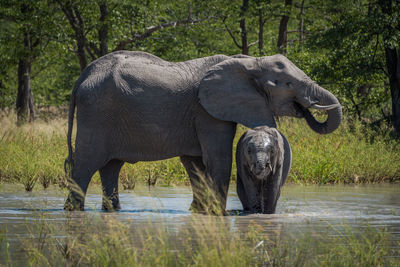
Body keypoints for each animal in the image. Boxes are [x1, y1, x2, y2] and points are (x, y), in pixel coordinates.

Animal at [64, 51, 342, 215]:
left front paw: (198, 212)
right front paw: (220, 215)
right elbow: (218, 159)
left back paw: (112, 211)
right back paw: (73, 210)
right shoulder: (208, 111)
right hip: (96, 114)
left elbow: (196, 163)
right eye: (287, 84)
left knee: (111, 167)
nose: (307, 106)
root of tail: (83, 76)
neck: (249, 61)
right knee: (85, 166)